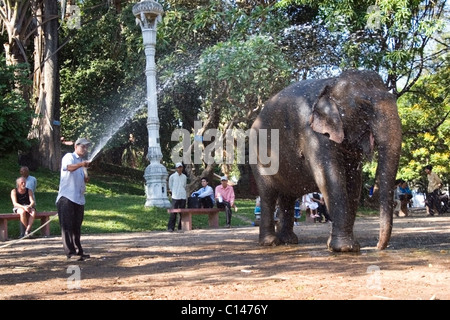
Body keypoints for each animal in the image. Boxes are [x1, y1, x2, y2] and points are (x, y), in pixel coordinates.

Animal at [251, 70, 402, 252]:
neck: (332, 84)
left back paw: (289, 240)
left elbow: (354, 182)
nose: (378, 247)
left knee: (288, 196)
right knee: (268, 194)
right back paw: (270, 242)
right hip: (258, 156)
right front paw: (345, 249)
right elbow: (331, 177)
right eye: (364, 107)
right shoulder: (313, 133)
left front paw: (343, 246)